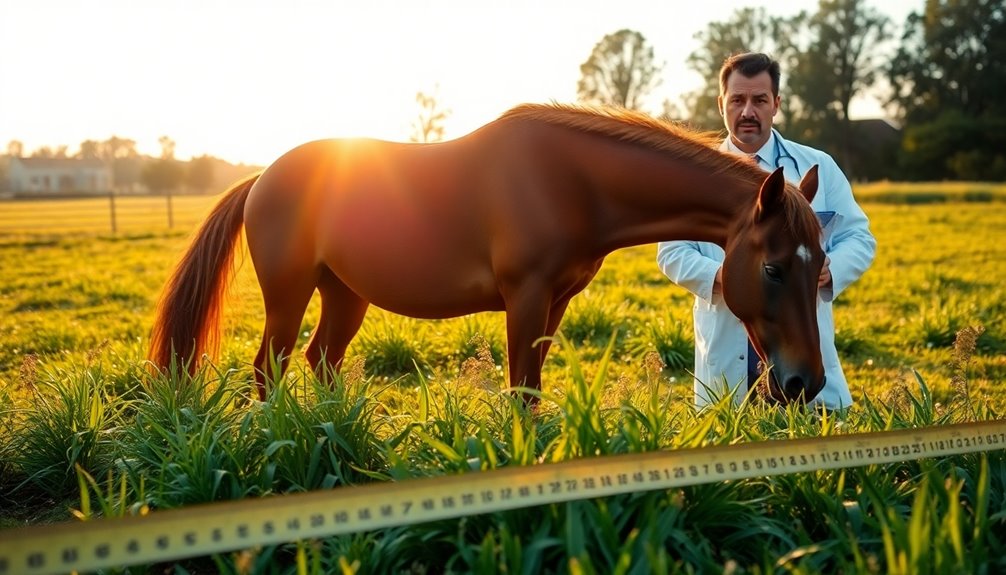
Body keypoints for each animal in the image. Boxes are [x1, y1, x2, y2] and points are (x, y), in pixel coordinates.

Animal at [148, 102, 824, 404]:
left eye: (820, 269)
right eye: (772, 267)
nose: (804, 383)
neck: (569, 180)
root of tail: (260, 178)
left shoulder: (555, 303)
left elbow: (534, 385)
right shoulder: (524, 297)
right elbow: (520, 388)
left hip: (345, 295)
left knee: (322, 361)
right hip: (288, 295)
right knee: (270, 368)